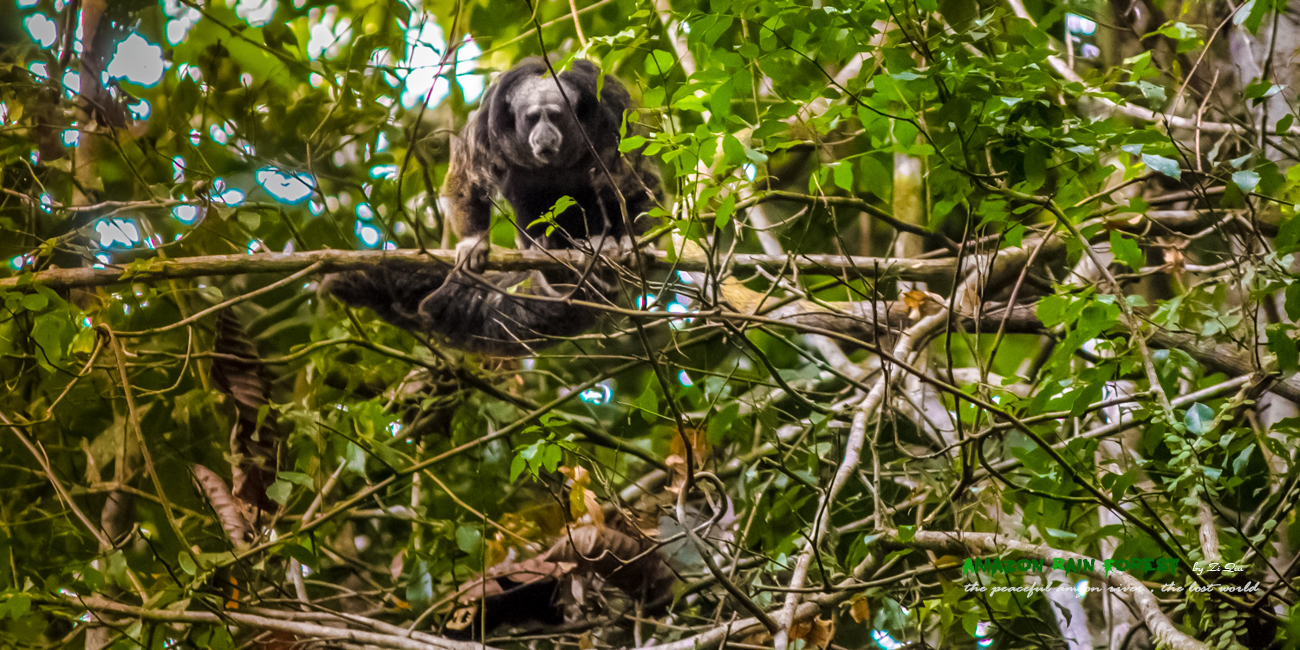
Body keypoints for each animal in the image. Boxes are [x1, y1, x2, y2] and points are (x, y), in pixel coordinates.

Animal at [325, 58, 660, 356]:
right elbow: (468, 177)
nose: (543, 135)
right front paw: (473, 242)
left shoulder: (614, 119)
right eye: (532, 118)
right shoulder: (489, 125)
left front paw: (633, 242)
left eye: (554, 116)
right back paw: (547, 253)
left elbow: (639, 181)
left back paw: (598, 246)